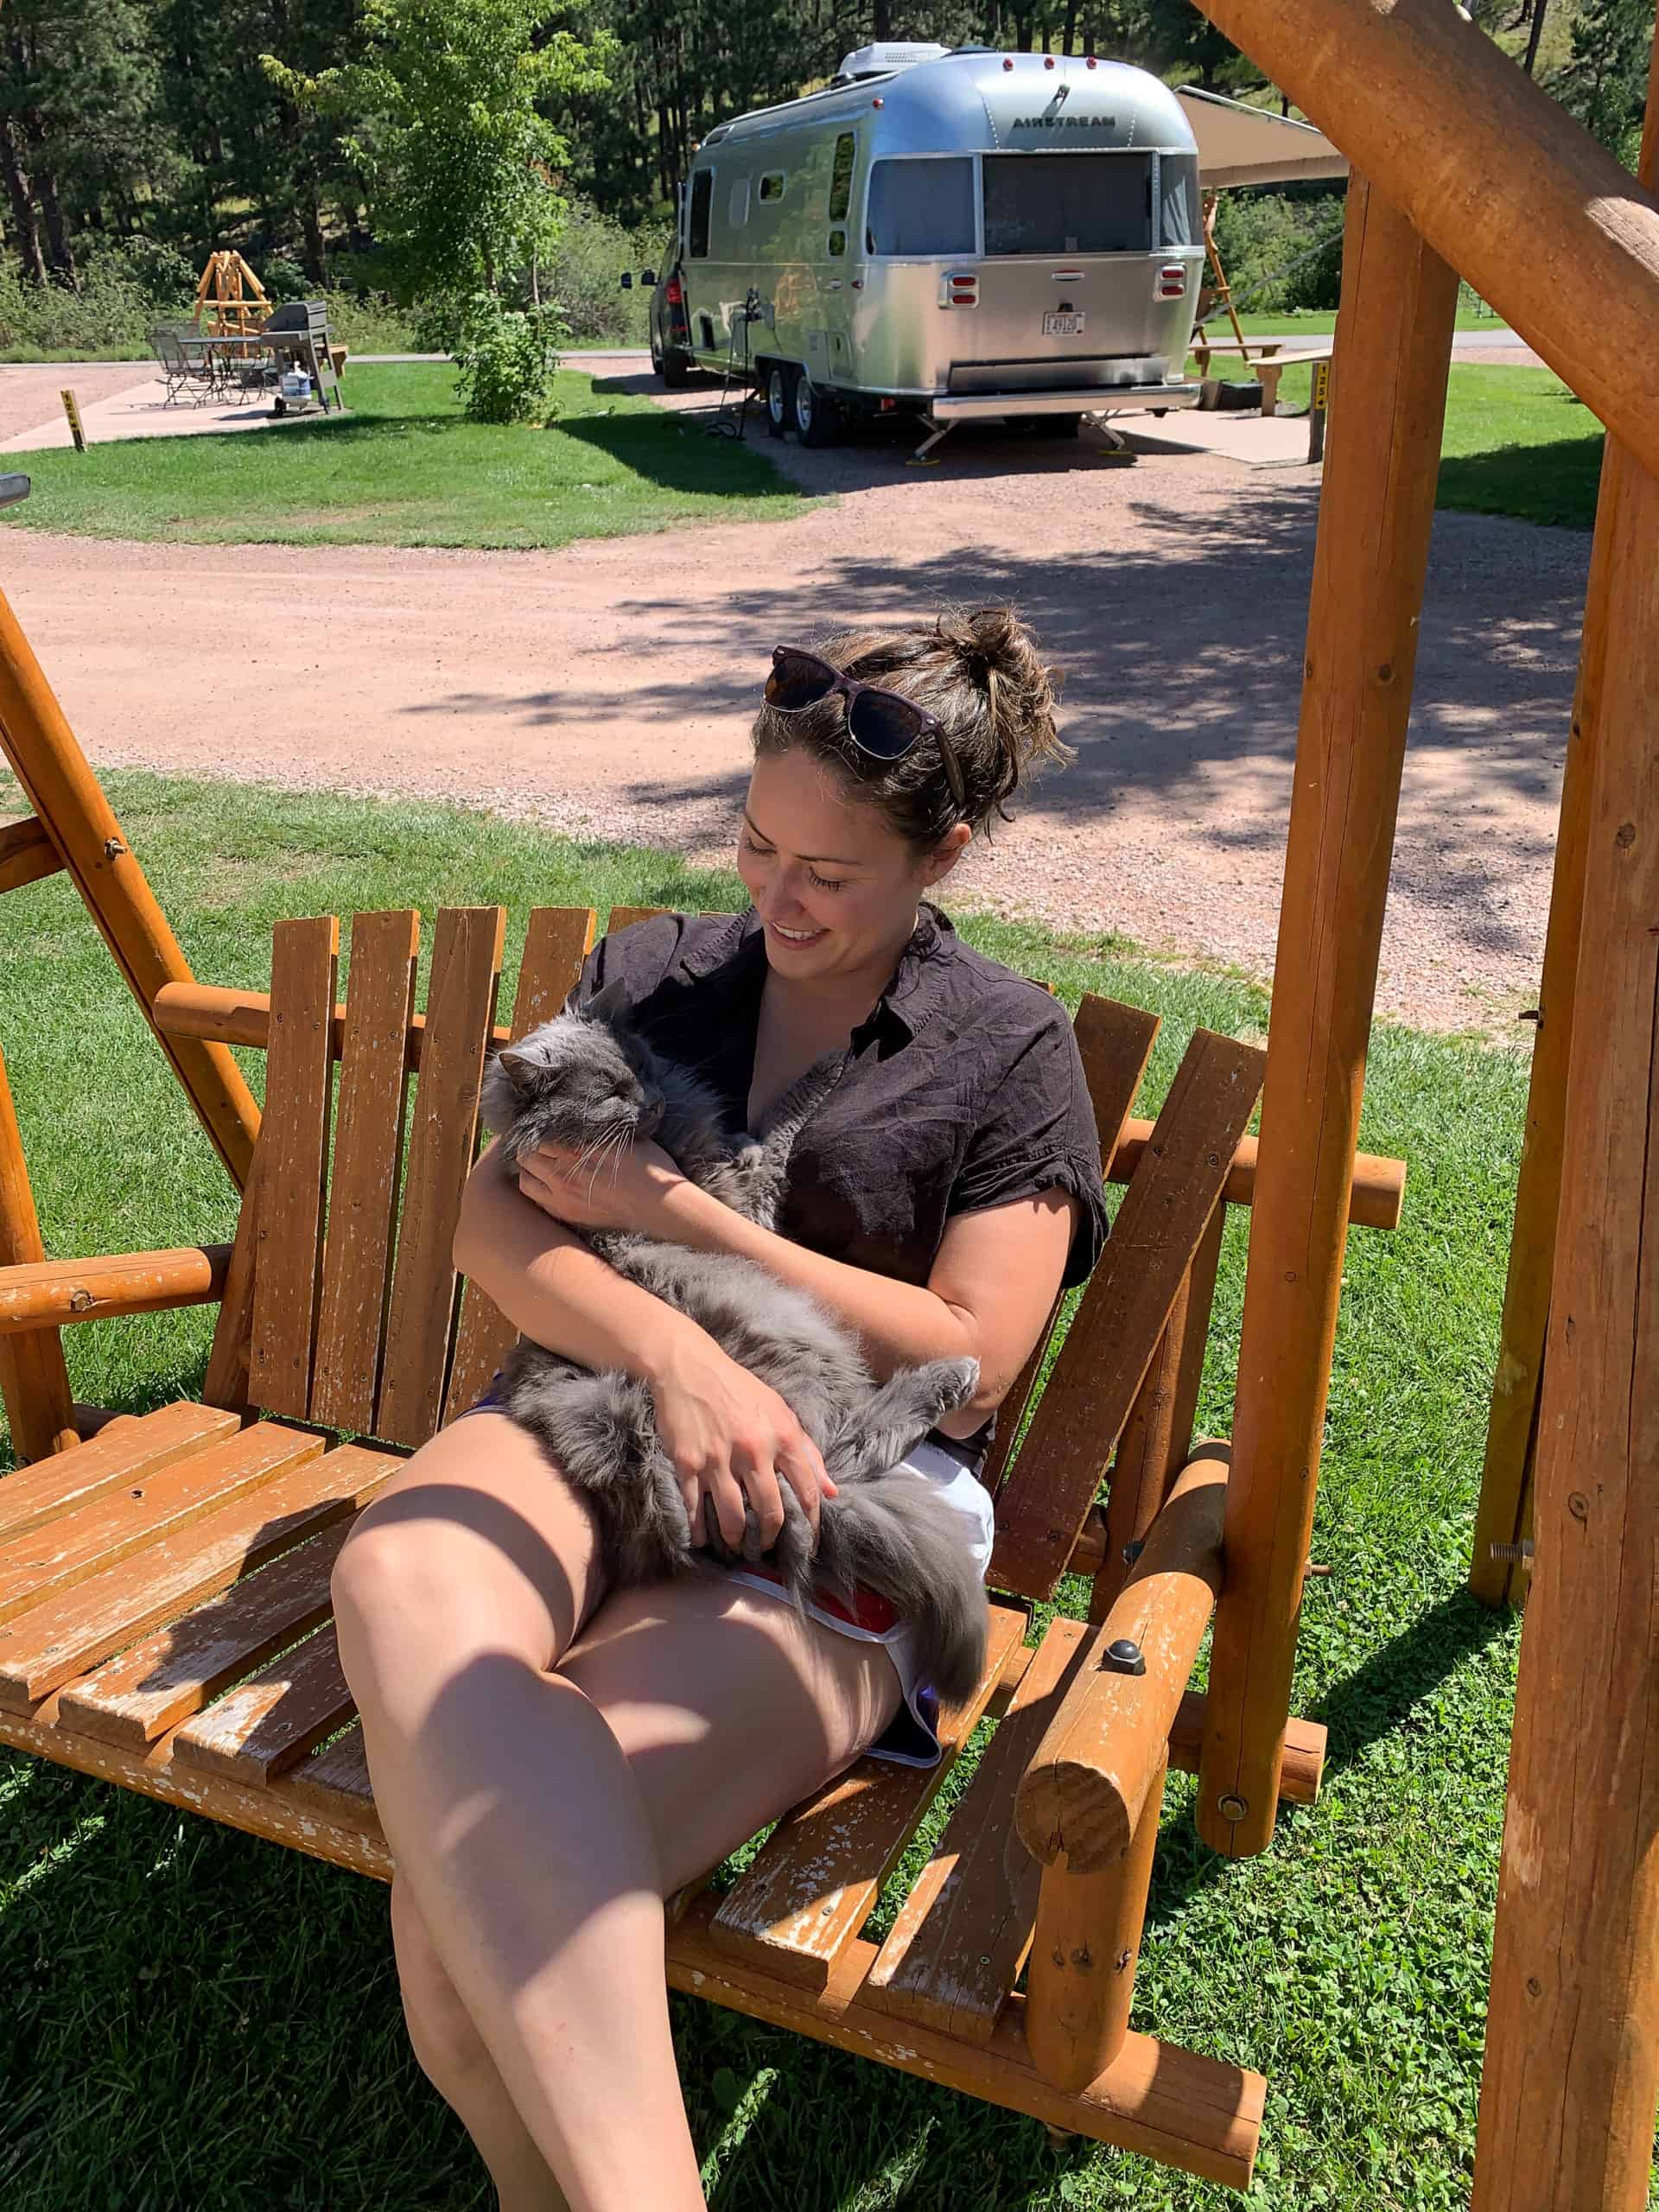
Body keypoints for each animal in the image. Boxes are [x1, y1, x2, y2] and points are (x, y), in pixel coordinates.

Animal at [480, 977, 995, 1699]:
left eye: (641, 1066)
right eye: (610, 1092)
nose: (651, 1098)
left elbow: (762, 1128)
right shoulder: (742, 1195)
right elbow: (782, 1123)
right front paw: (833, 1061)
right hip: (797, 1349)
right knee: (845, 1453)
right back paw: (951, 1376)